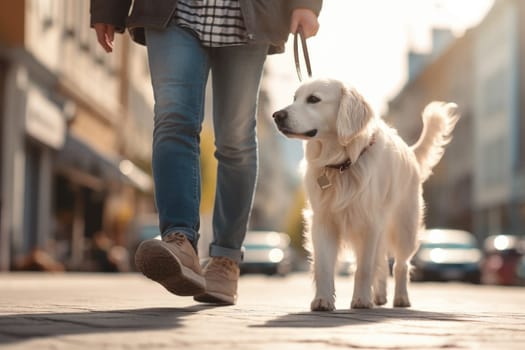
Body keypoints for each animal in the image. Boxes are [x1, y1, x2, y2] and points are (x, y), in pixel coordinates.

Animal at [272, 78, 456, 310]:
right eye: (294, 98)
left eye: (313, 99)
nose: (277, 115)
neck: (342, 164)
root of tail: (410, 152)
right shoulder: (323, 220)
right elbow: (324, 266)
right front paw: (323, 299)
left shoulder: (370, 223)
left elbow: (364, 268)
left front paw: (360, 299)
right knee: (382, 262)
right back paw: (379, 295)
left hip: (405, 227)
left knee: (400, 264)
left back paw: (401, 297)